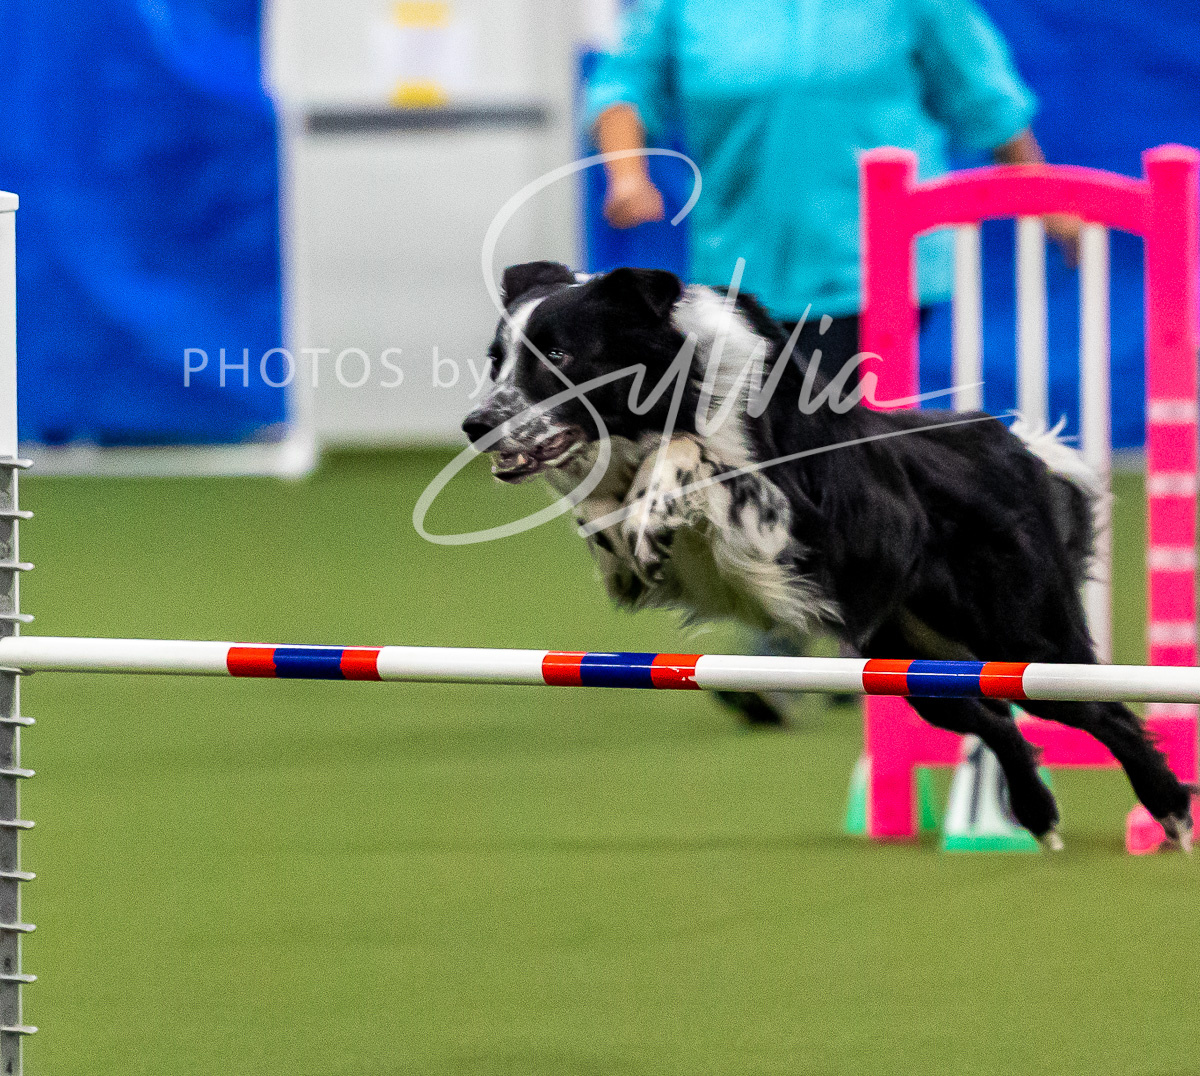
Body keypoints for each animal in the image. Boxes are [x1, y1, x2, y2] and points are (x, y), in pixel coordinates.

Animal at [462, 260, 1195, 850]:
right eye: (496, 359)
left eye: (558, 354)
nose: (476, 426)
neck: (674, 393)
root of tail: (1013, 448)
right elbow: (603, 517)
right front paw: (630, 528)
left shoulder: (793, 521)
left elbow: (692, 455)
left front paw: (651, 512)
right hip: (915, 664)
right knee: (994, 719)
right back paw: (1038, 815)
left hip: (1023, 639)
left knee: (1107, 712)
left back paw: (1170, 813)